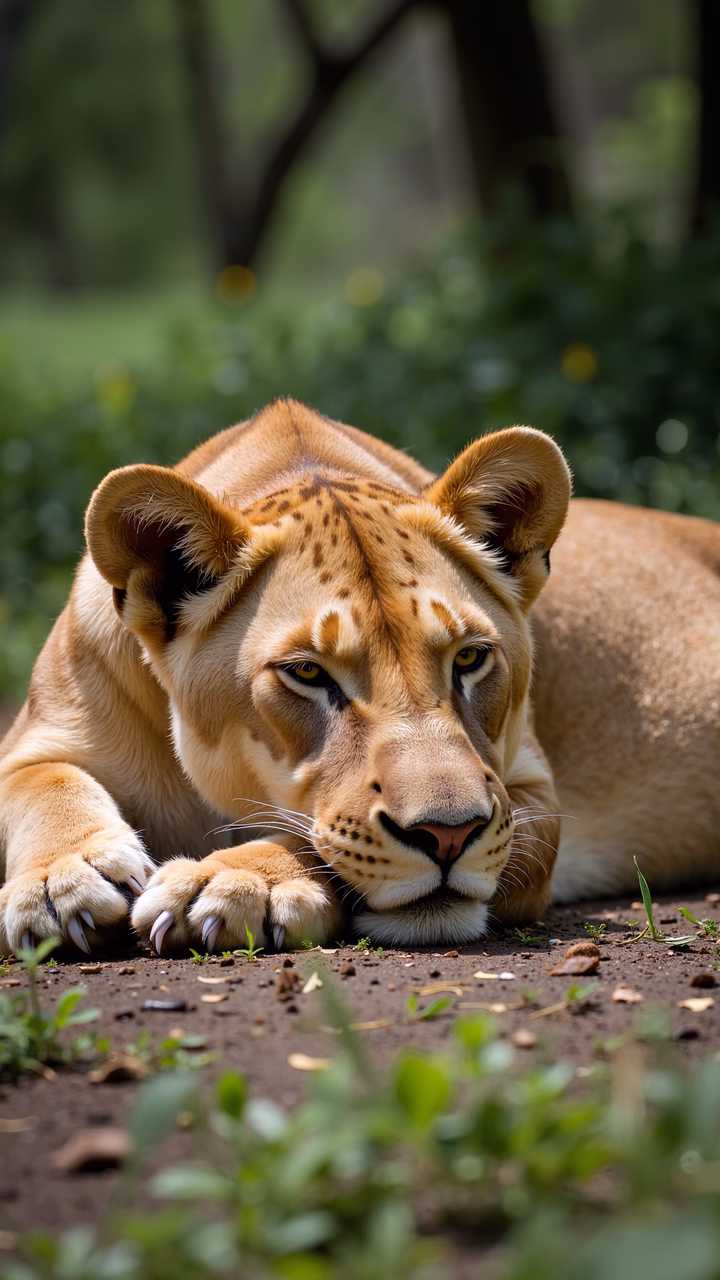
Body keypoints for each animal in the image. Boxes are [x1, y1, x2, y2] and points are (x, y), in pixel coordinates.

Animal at [0, 398, 717, 956]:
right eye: (307, 672)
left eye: (468, 658)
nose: (448, 834)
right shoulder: (36, 737)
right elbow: (42, 784)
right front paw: (64, 879)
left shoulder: (531, 792)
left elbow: (315, 834)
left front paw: (241, 881)